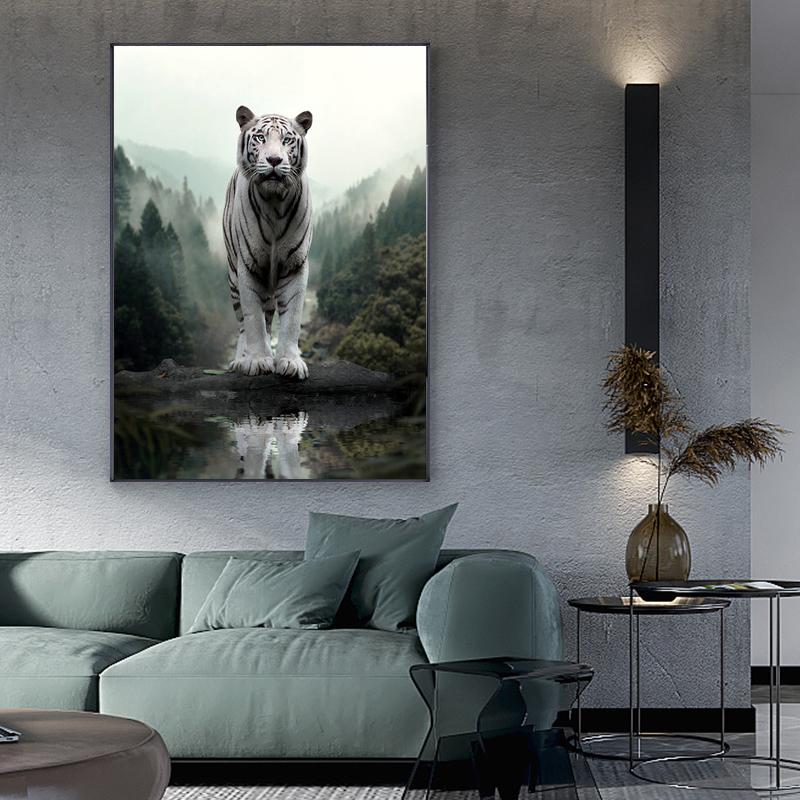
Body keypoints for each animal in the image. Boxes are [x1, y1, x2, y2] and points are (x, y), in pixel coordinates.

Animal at [222, 105, 313, 379]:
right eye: (261, 138)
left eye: (287, 140)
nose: (274, 160)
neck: (274, 203)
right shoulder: (248, 266)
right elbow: (253, 318)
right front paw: (257, 360)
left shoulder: (295, 265)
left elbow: (292, 318)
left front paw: (290, 362)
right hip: (233, 278)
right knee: (243, 322)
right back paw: (240, 360)